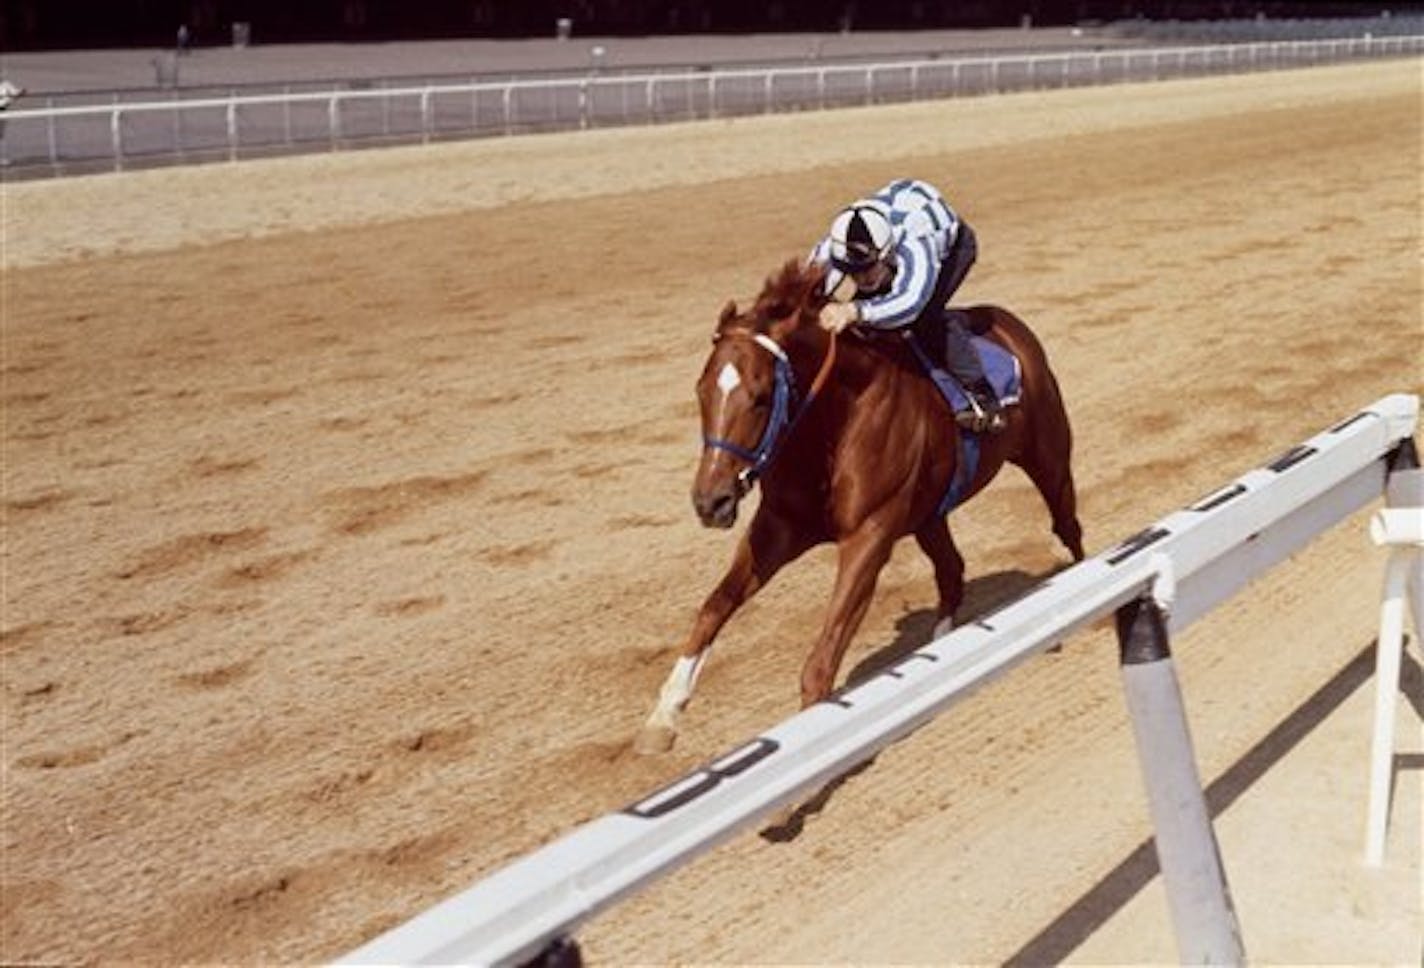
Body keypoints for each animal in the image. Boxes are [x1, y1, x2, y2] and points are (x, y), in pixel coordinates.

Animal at [635, 260, 1076, 751]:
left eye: (761, 396)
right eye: (701, 391)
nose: (710, 501)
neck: (832, 424)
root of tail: (1011, 325)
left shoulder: (869, 535)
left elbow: (823, 657)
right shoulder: (779, 527)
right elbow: (716, 605)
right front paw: (663, 715)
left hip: (1048, 457)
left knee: (1068, 526)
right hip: (929, 513)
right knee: (951, 570)